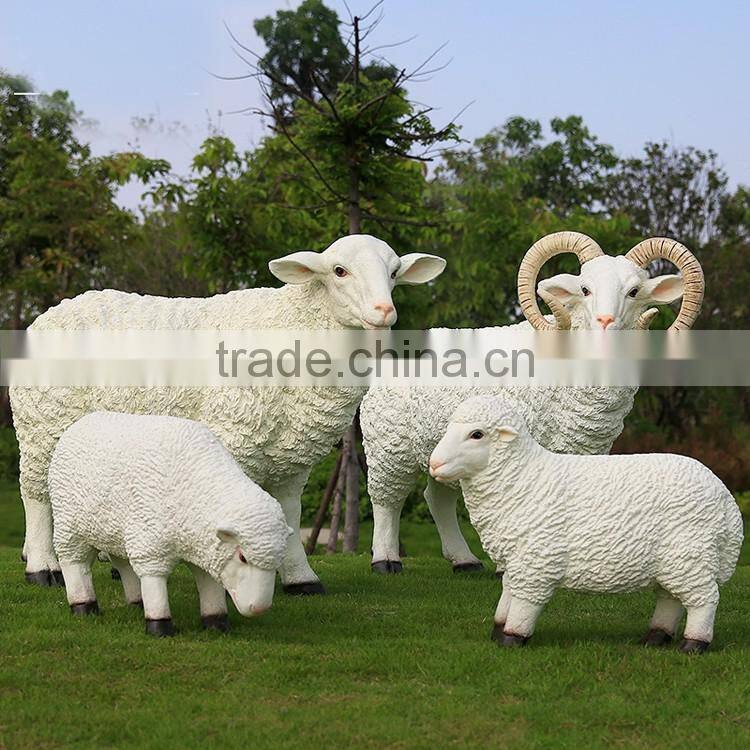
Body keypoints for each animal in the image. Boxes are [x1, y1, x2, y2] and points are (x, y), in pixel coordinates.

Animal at [10, 234, 447, 591]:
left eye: (394, 272)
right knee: (36, 495)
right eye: (339, 271)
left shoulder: (294, 453)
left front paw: (300, 578)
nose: (384, 310)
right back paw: (42, 567)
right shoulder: (235, 435)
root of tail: (51, 312)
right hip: (43, 424)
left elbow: (290, 513)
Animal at [49, 411, 293, 636]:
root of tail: (80, 422)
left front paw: (216, 623)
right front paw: (159, 626)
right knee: (74, 562)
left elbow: (208, 583)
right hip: (69, 525)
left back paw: (136, 602)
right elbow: (154, 580)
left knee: (122, 562)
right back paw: (83, 606)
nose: (259, 608)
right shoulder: (149, 541)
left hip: (112, 528)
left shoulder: (202, 546)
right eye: (242, 557)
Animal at [361, 232, 705, 574]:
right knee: (387, 499)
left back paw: (465, 561)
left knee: (437, 498)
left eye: (634, 292)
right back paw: (386, 560)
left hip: (444, 447)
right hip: (389, 445)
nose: (605, 321)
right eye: (585, 289)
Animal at [428, 395, 743, 652]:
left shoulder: (537, 560)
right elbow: (509, 591)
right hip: (677, 560)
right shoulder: (517, 558)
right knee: (671, 599)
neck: (523, 478)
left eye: (476, 434)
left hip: (691, 552)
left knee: (704, 599)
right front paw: (498, 628)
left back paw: (694, 644)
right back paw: (655, 637)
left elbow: (526, 600)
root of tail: (726, 499)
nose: (434, 464)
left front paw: (513, 636)